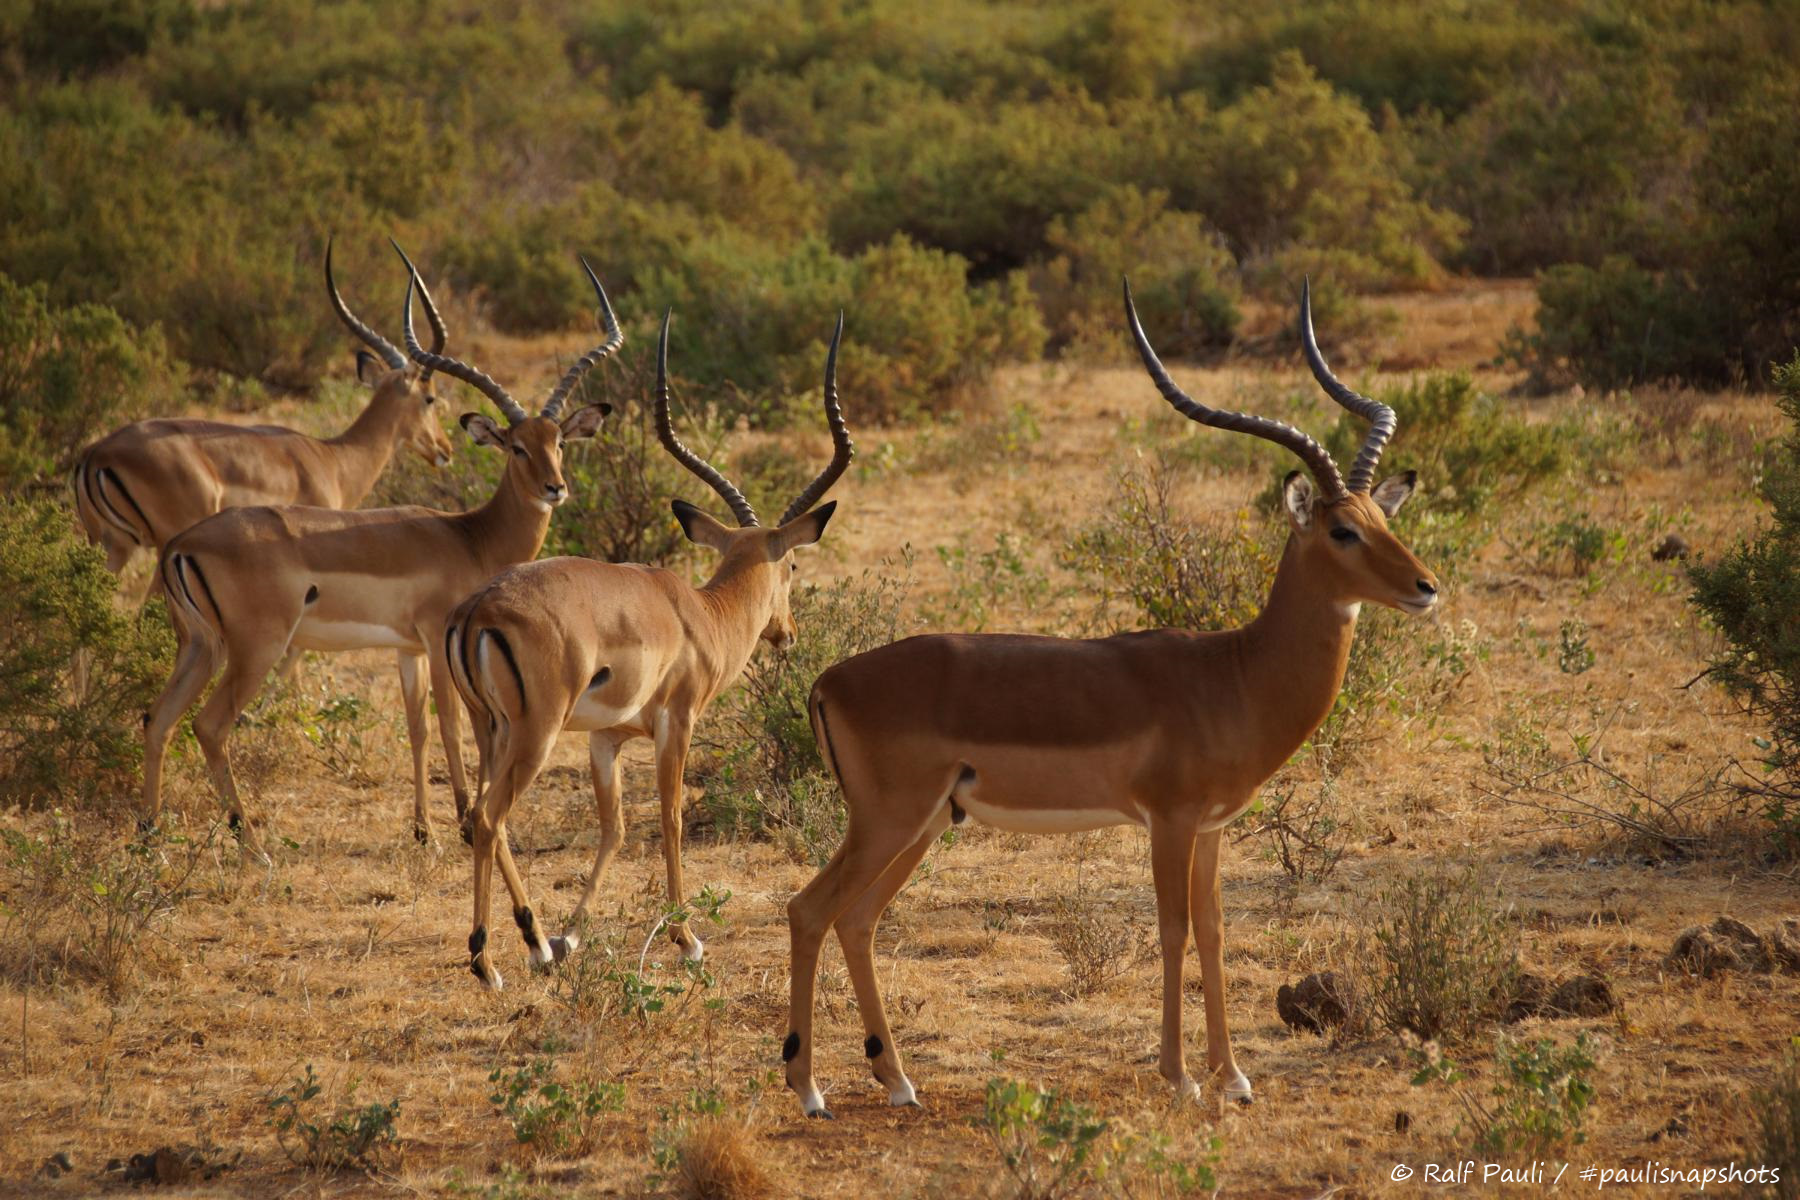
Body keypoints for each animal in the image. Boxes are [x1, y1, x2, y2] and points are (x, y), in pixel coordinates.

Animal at [74, 241, 455, 609]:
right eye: (430, 397)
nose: (446, 450)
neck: (334, 460)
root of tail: (95, 454)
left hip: (112, 545)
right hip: (164, 544)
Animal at [141, 247, 621, 855]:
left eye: (558, 441)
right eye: (514, 446)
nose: (555, 488)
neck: (471, 537)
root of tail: (181, 545)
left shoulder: (407, 651)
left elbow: (417, 729)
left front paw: (423, 830)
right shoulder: (439, 642)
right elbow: (454, 727)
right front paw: (463, 822)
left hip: (199, 646)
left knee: (158, 719)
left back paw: (148, 834)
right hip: (255, 648)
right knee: (209, 725)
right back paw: (251, 844)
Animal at [443, 309, 853, 990]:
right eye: (793, 564)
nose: (787, 632)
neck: (699, 615)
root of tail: (477, 608)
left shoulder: (606, 739)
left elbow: (614, 828)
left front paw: (571, 936)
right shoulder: (676, 722)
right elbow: (670, 817)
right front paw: (687, 939)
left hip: (490, 730)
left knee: (478, 816)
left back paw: (529, 946)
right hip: (534, 734)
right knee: (493, 818)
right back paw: (491, 959)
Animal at [778, 280, 1438, 1118]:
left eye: (1386, 517)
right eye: (1343, 530)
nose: (1426, 587)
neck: (1234, 673)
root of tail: (828, 679)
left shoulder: (1214, 827)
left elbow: (1215, 931)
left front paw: (1235, 1076)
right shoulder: (1169, 820)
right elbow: (1173, 929)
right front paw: (1181, 1076)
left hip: (922, 825)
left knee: (857, 918)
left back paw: (897, 1081)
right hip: (888, 821)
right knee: (809, 909)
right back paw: (809, 1090)